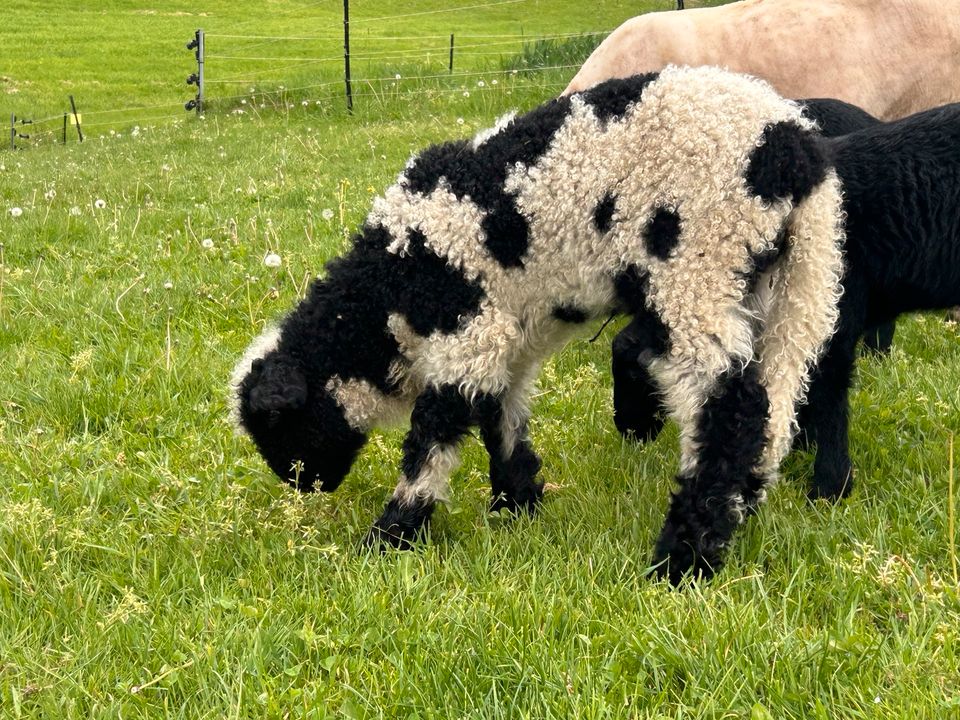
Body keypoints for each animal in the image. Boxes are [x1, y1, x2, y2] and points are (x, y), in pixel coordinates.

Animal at [229, 66, 844, 584]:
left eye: (277, 423)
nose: (303, 484)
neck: (389, 292)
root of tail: (791, 144)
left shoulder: (466, 328)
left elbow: (433, 434)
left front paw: (392, 533)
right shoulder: (509, 335)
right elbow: (503, 415)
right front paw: (517, 505)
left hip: (696, 261)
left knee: (729, 406)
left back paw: (683, 559)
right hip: (801, 276)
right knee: (776, 395)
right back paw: (742, 506)